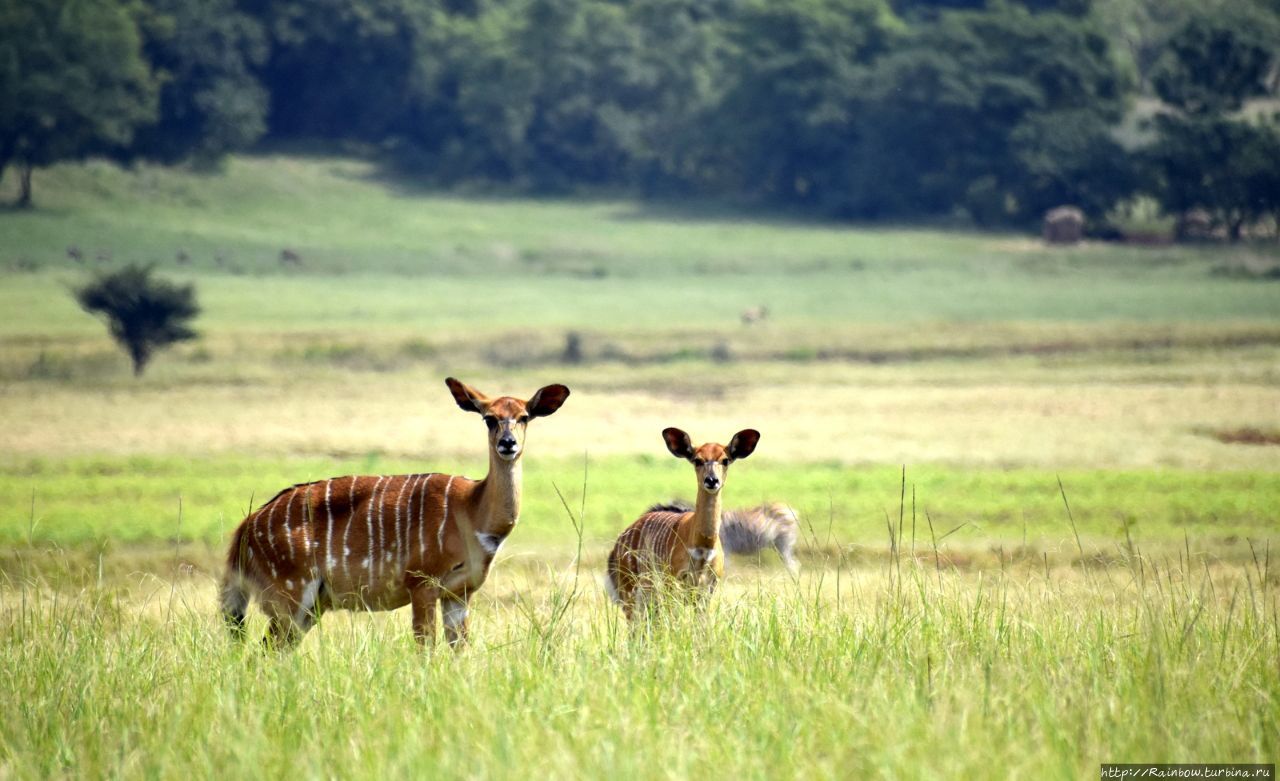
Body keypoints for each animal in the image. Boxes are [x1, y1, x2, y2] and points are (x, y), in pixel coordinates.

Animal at [217, 376, 568, 645]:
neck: (471, 510)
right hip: (290, 596)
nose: (508, 443)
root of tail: (244, 529)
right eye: (489, 418)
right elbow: (426, 647)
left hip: (311, 606)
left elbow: (460, 649)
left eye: (524, 416)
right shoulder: (422, 583)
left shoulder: (460, 594)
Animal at [606, 422, 757, 617]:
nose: (711, 480)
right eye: (697, 460)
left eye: (725, 460)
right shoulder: (675, 583)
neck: (703, 546)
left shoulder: (708, 588)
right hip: (630, 590)